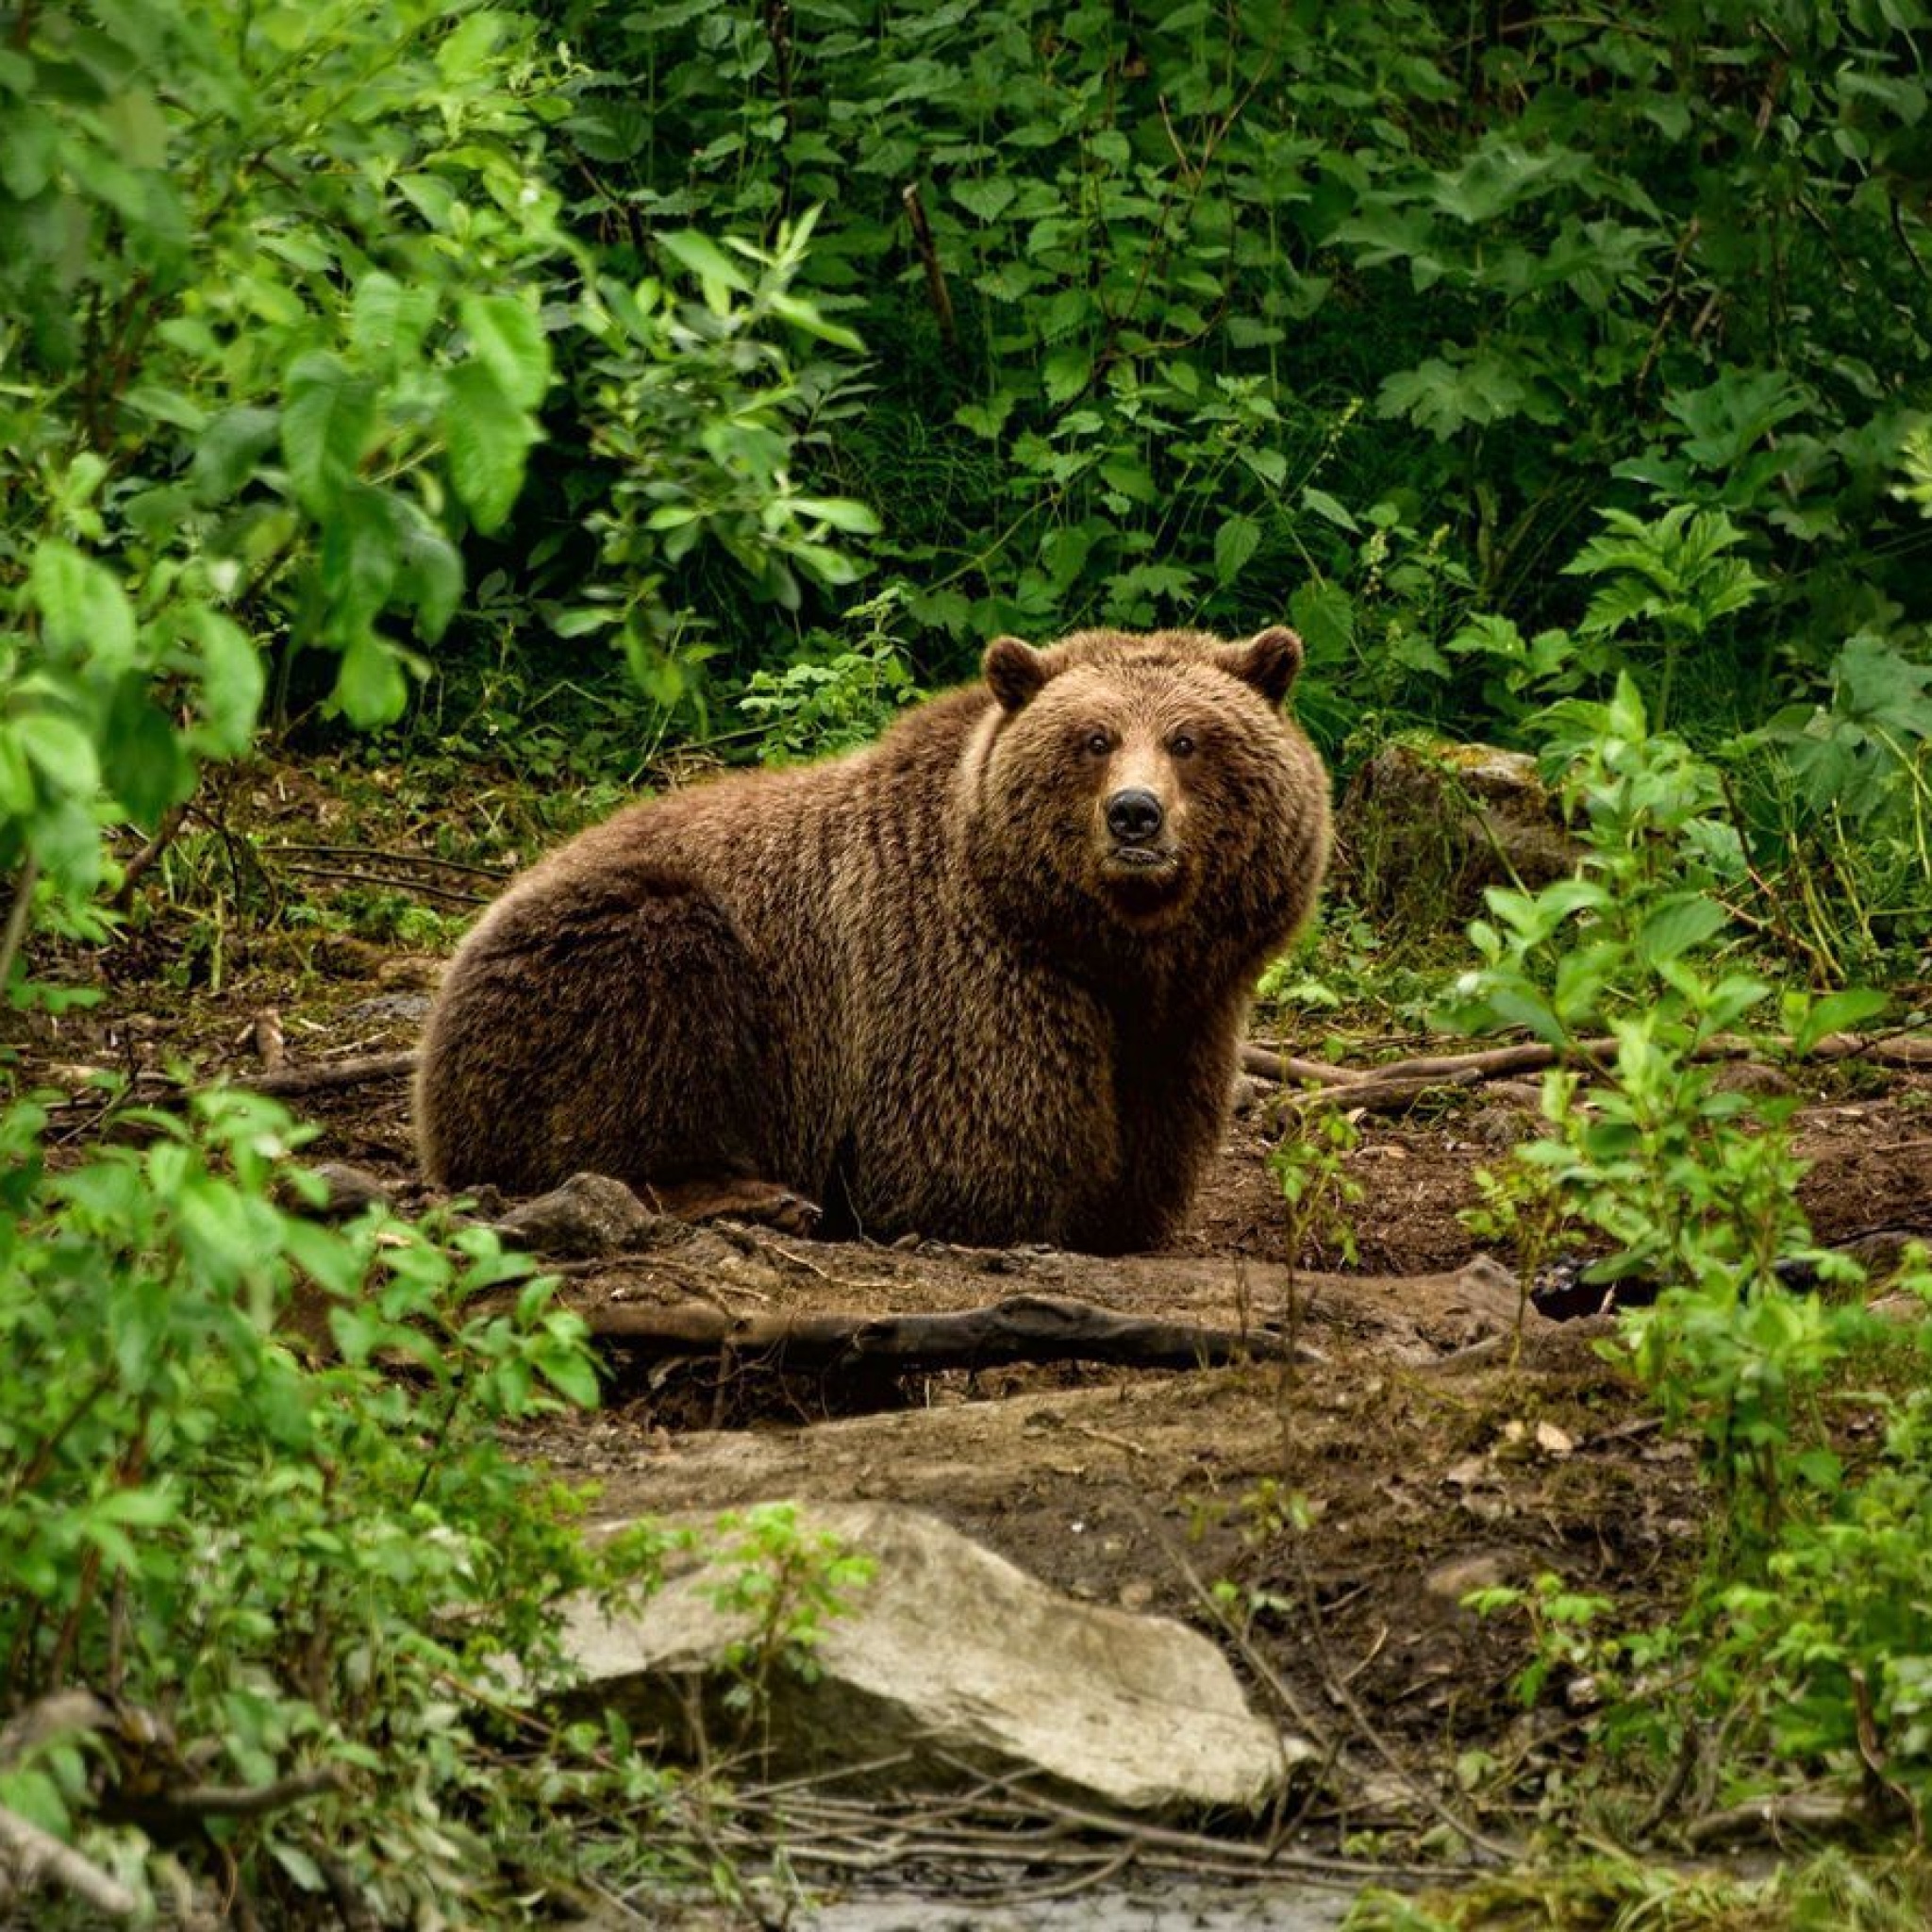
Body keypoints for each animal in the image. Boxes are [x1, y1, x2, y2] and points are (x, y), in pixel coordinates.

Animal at [415, 622, 1329, 1252]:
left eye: (1188, 738)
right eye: (1093, 739)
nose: (1134, 815)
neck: (1103, 944)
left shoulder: (1184, 1014)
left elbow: (1153, 1135)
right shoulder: (958, 972)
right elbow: (970, 1145)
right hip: (606, 953)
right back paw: (756, 1194)